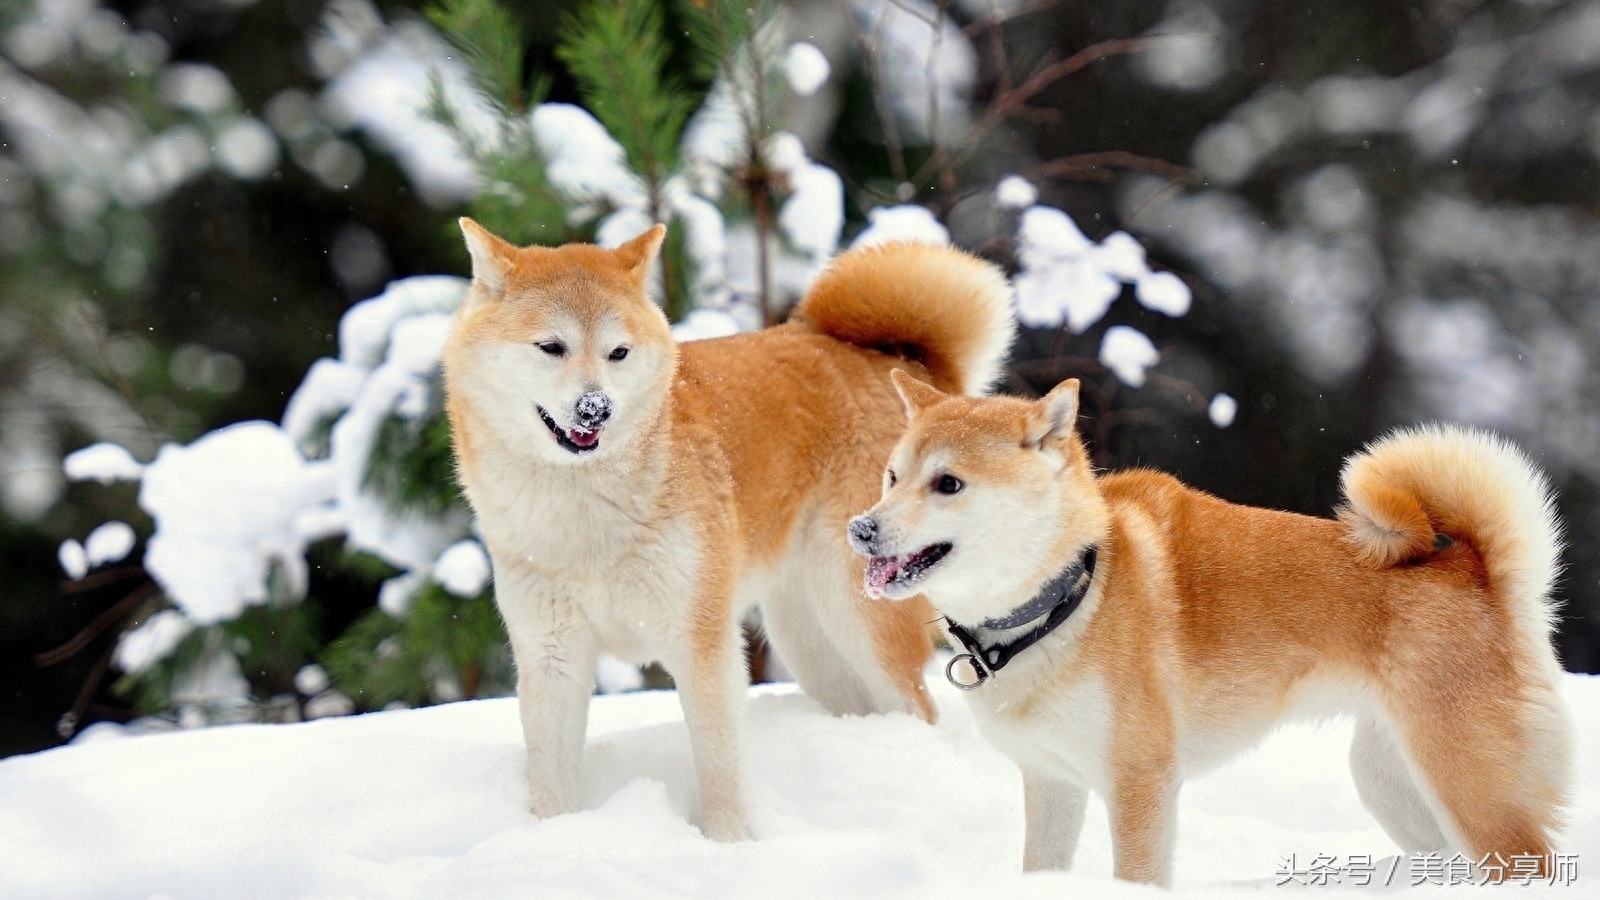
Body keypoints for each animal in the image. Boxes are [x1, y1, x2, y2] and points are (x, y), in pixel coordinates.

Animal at [438, 220, 1011, 839]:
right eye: (551, 347)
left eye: (618, 352)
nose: (596, 409)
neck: (585, 519)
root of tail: (904, 367)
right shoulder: (552, 657)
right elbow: (550, 784)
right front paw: (555, 840)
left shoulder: (702, 645)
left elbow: (719, 769)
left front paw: (728, 845)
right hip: (808, 643)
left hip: (860, 623)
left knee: (920, 709)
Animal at [851, 369, 1574, 883]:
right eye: (891, 476)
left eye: (948, 483)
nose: (861, 528)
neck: (1068, 597)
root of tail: (1479, 571)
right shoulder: (1053, 781)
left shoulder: (1140, 781)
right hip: (1396, 786)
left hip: (1471, 793)